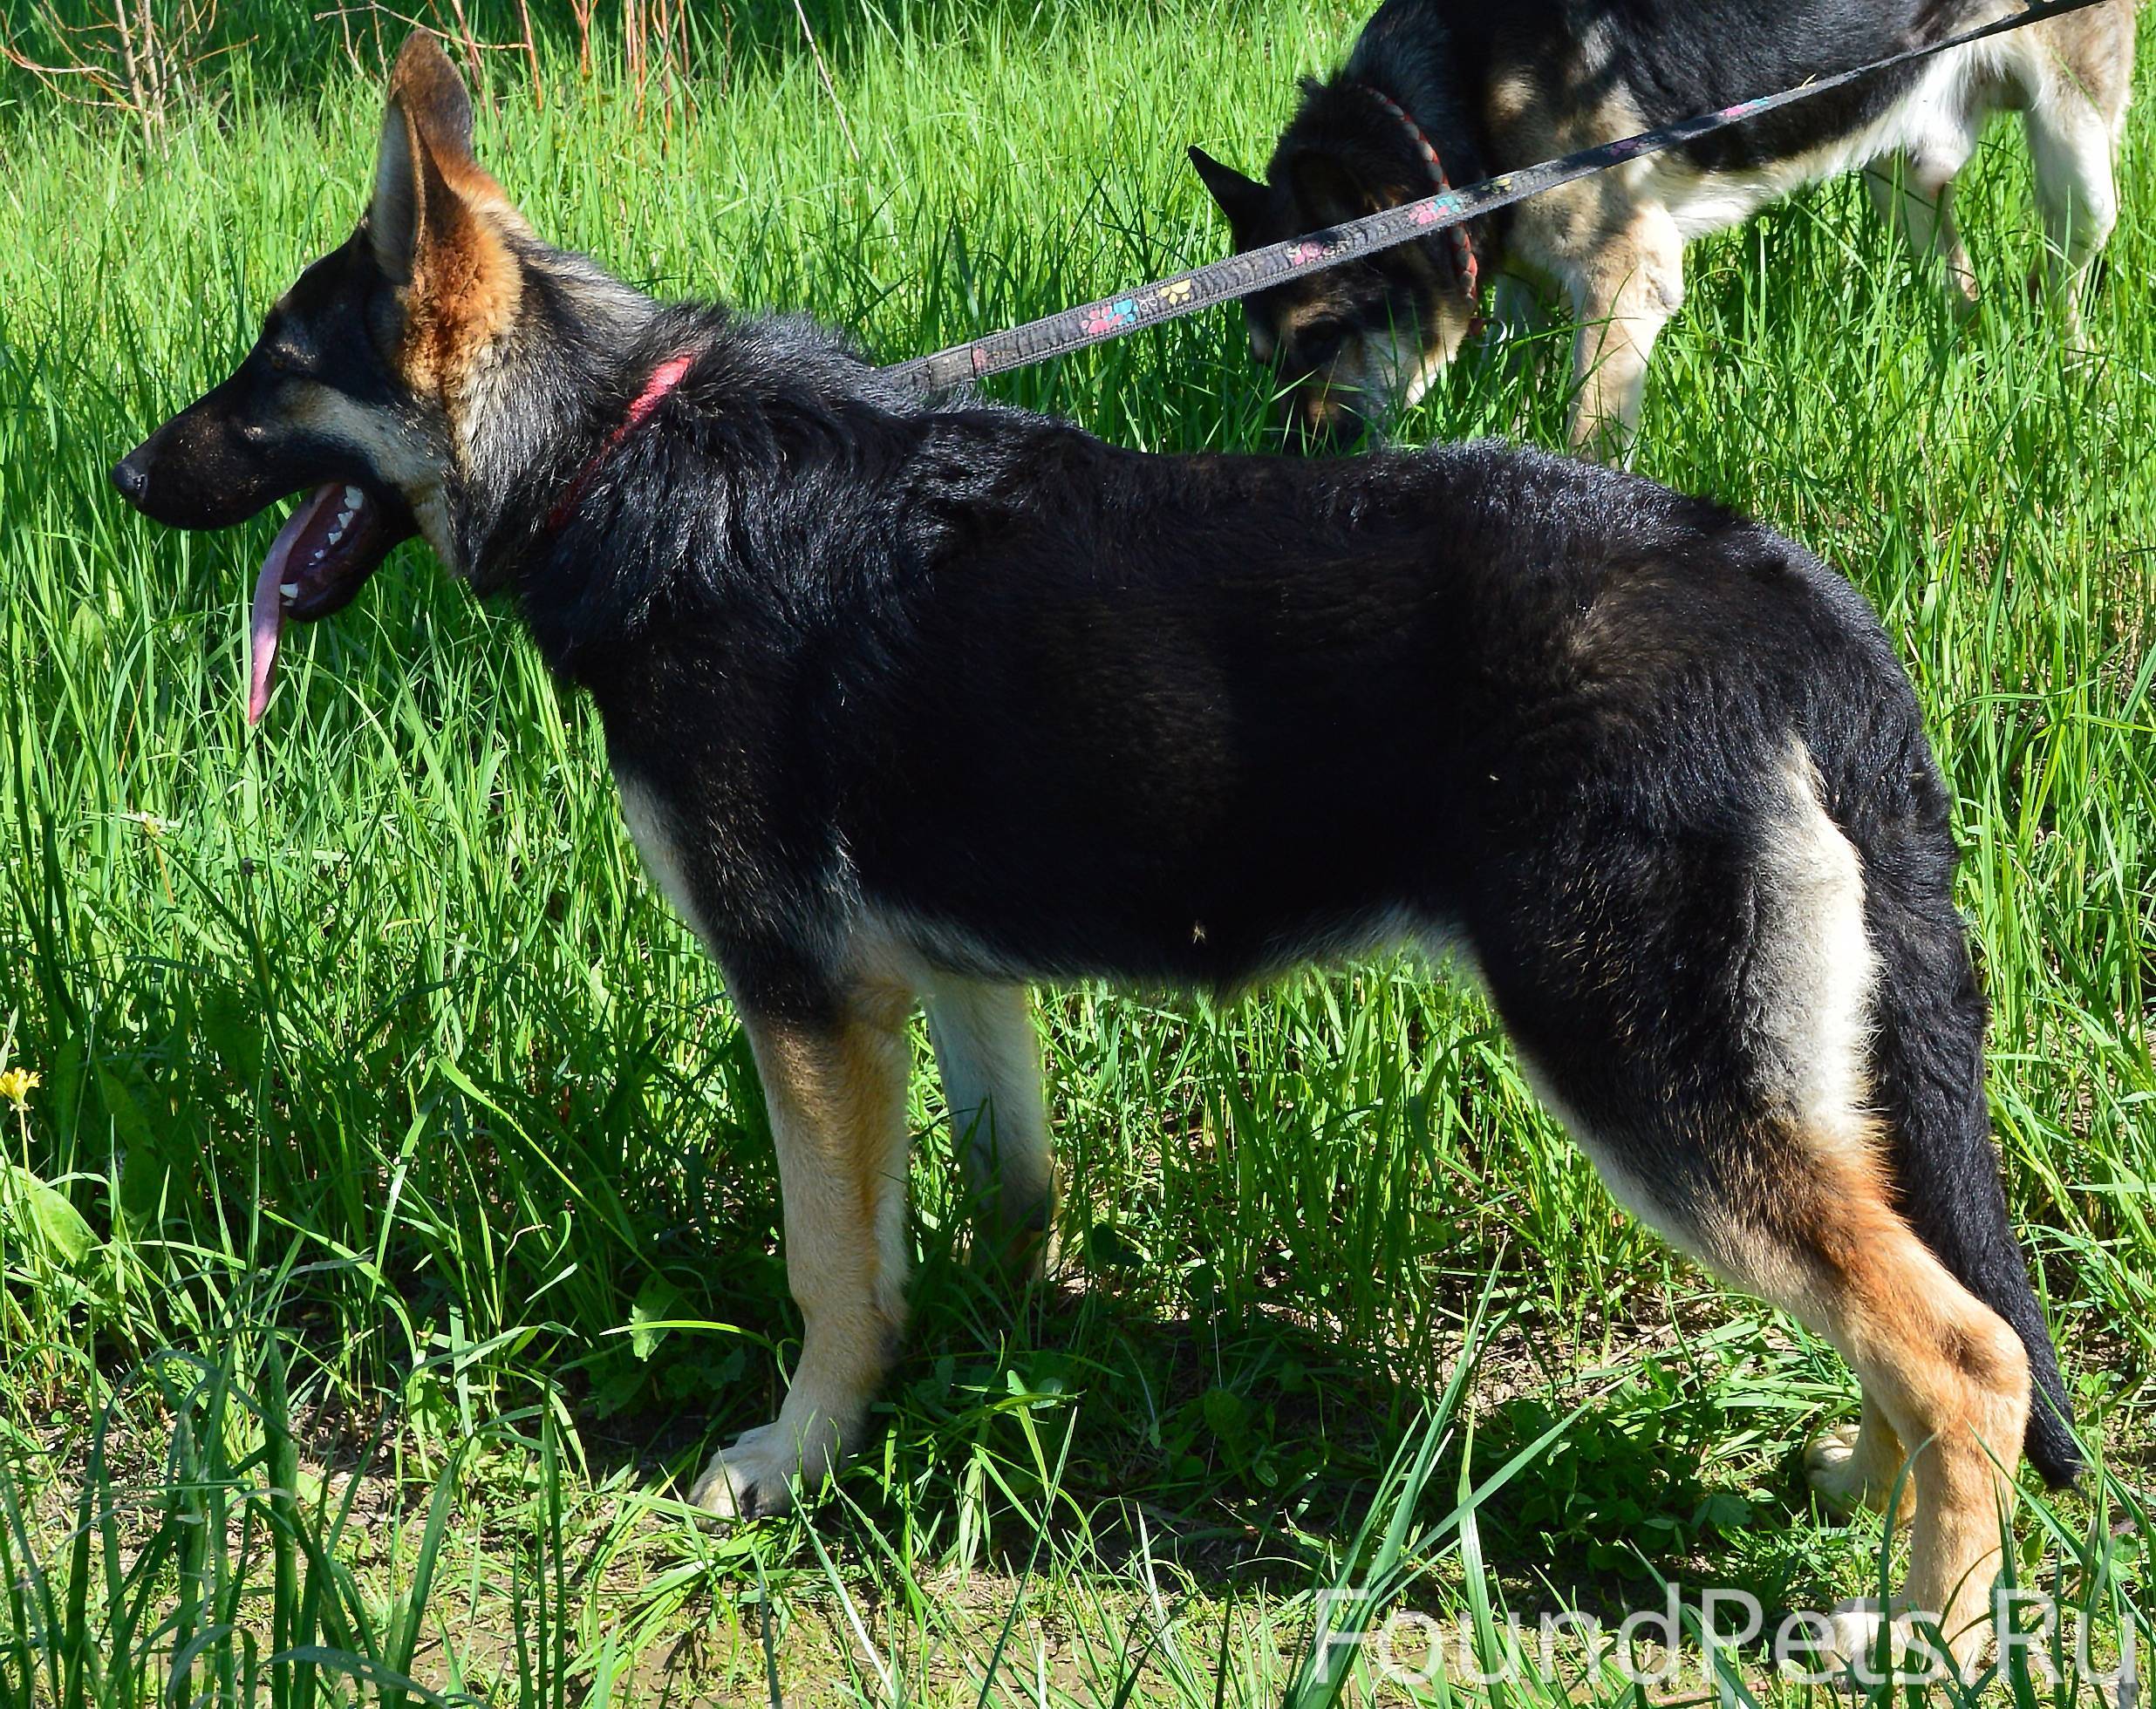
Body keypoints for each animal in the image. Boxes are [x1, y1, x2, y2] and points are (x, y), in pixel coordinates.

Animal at [1198, 0, 2139, 450]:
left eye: (1321, 338)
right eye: (1265, 360)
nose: (1292, 461)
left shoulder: (1625, 285)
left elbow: (1587, 436)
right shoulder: (1522, 285)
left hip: (2079, 165)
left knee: (2067, 285)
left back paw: (2079, 381)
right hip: (1904, 169)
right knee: (1961, 282)